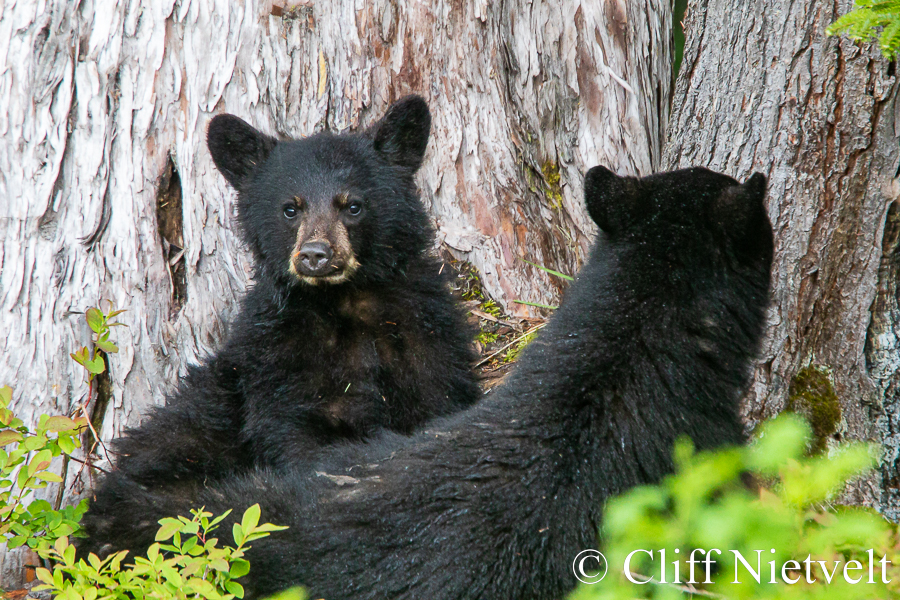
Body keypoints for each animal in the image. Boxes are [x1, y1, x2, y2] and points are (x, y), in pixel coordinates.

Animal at [81, 96, 482, 548]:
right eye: (290, 208)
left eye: (353, 205)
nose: (315, 255)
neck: (342, 301)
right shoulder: (277, 357)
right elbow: (293, 435)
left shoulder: (424, 331)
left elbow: (436, 401)